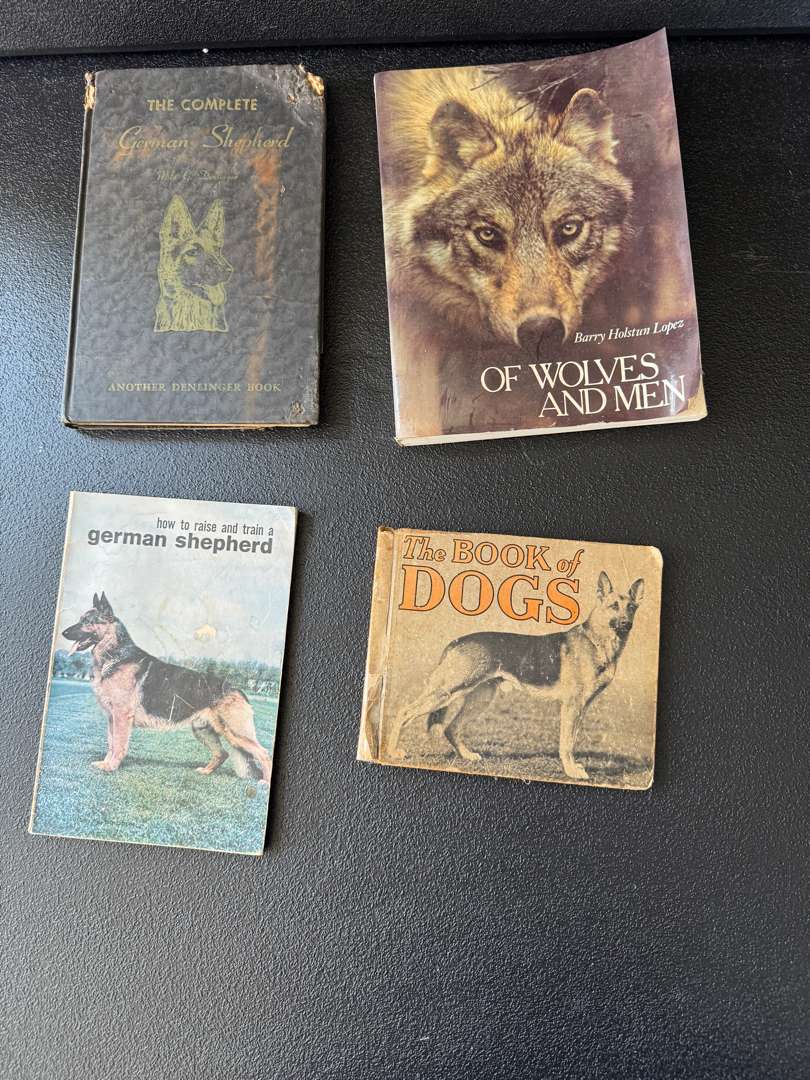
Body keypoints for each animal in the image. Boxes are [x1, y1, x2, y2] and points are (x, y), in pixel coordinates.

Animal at [62, 593, 272, 782]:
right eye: (80, 619)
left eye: (87, 621)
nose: (63, 633)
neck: (115, 655)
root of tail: (238, 690)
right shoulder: (112, 718)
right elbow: (111, 743)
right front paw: (106, 763)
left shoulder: (121, 716)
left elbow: (119, 745)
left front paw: (111, 767)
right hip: (204, 731)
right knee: (223, 754)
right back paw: (205, 771)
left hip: (234, 733)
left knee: (264, 753)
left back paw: (264, 782)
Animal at [387, 573, 644, 781]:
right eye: (613, 606)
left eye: (631, 607)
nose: (627, 624)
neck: (597, 641)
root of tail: (457, 642)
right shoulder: (572, 706)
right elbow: (567, 744)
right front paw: (571, 771)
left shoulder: (582, 707)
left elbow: (572, 739)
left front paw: (573, 768)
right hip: (446, 692)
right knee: (404, 713)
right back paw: (392, 752)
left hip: (480, 699)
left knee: (451, 728)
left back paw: (468, 756)